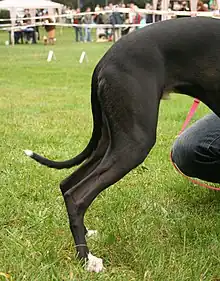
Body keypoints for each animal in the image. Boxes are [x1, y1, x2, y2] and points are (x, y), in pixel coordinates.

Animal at [24, 17, 220, 272]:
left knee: (67, 183)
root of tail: (104, 60)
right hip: (135, 142)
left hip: (110, 139)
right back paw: (87, 260)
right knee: (77, 196)